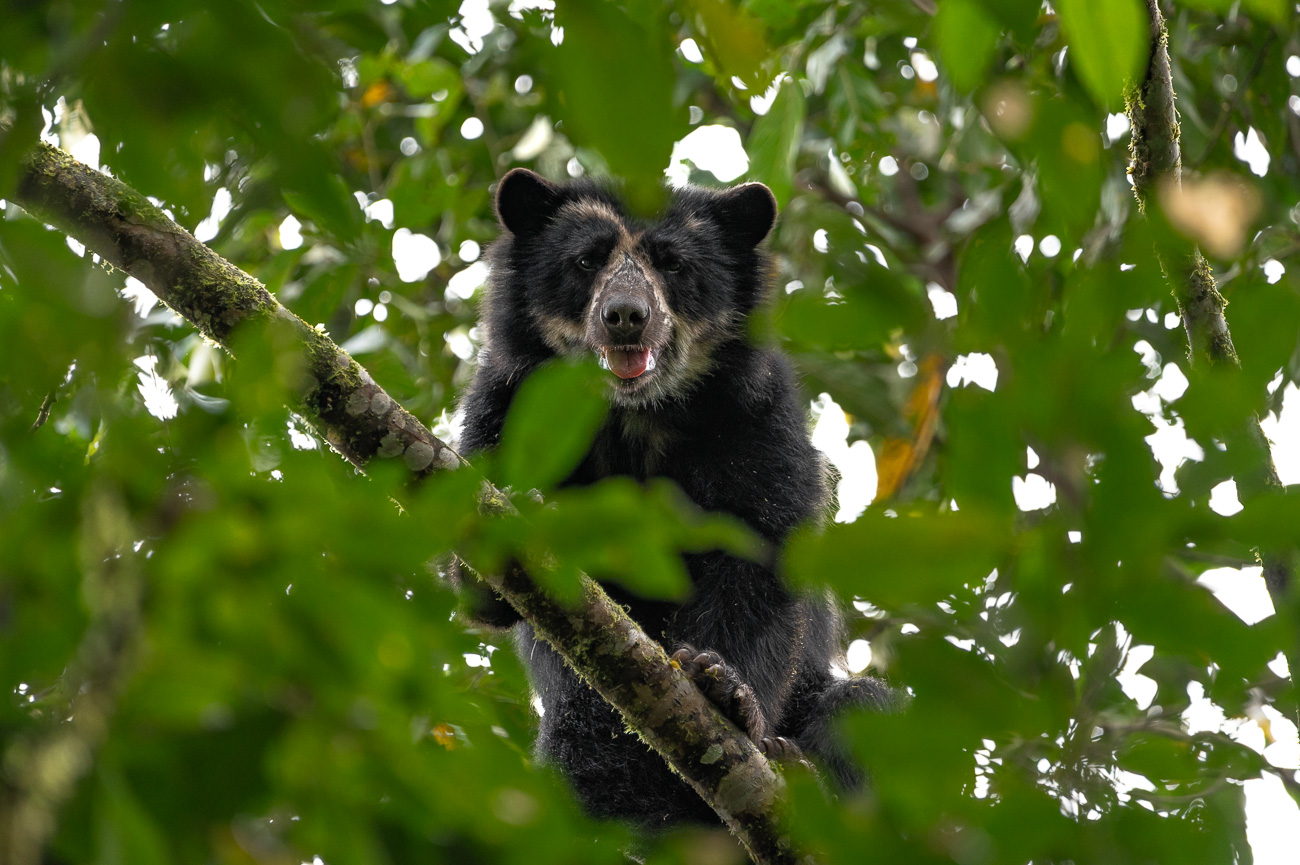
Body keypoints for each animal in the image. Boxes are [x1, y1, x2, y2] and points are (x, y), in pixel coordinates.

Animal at [455, 168, 893, 826]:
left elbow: (758, 557)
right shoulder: (504, 408)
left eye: (674, 264)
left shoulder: (756, 418)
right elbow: (484, 592)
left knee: (863, 709)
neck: (638, 416)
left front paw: (725, 691)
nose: (625, 315)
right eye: (586, 260)